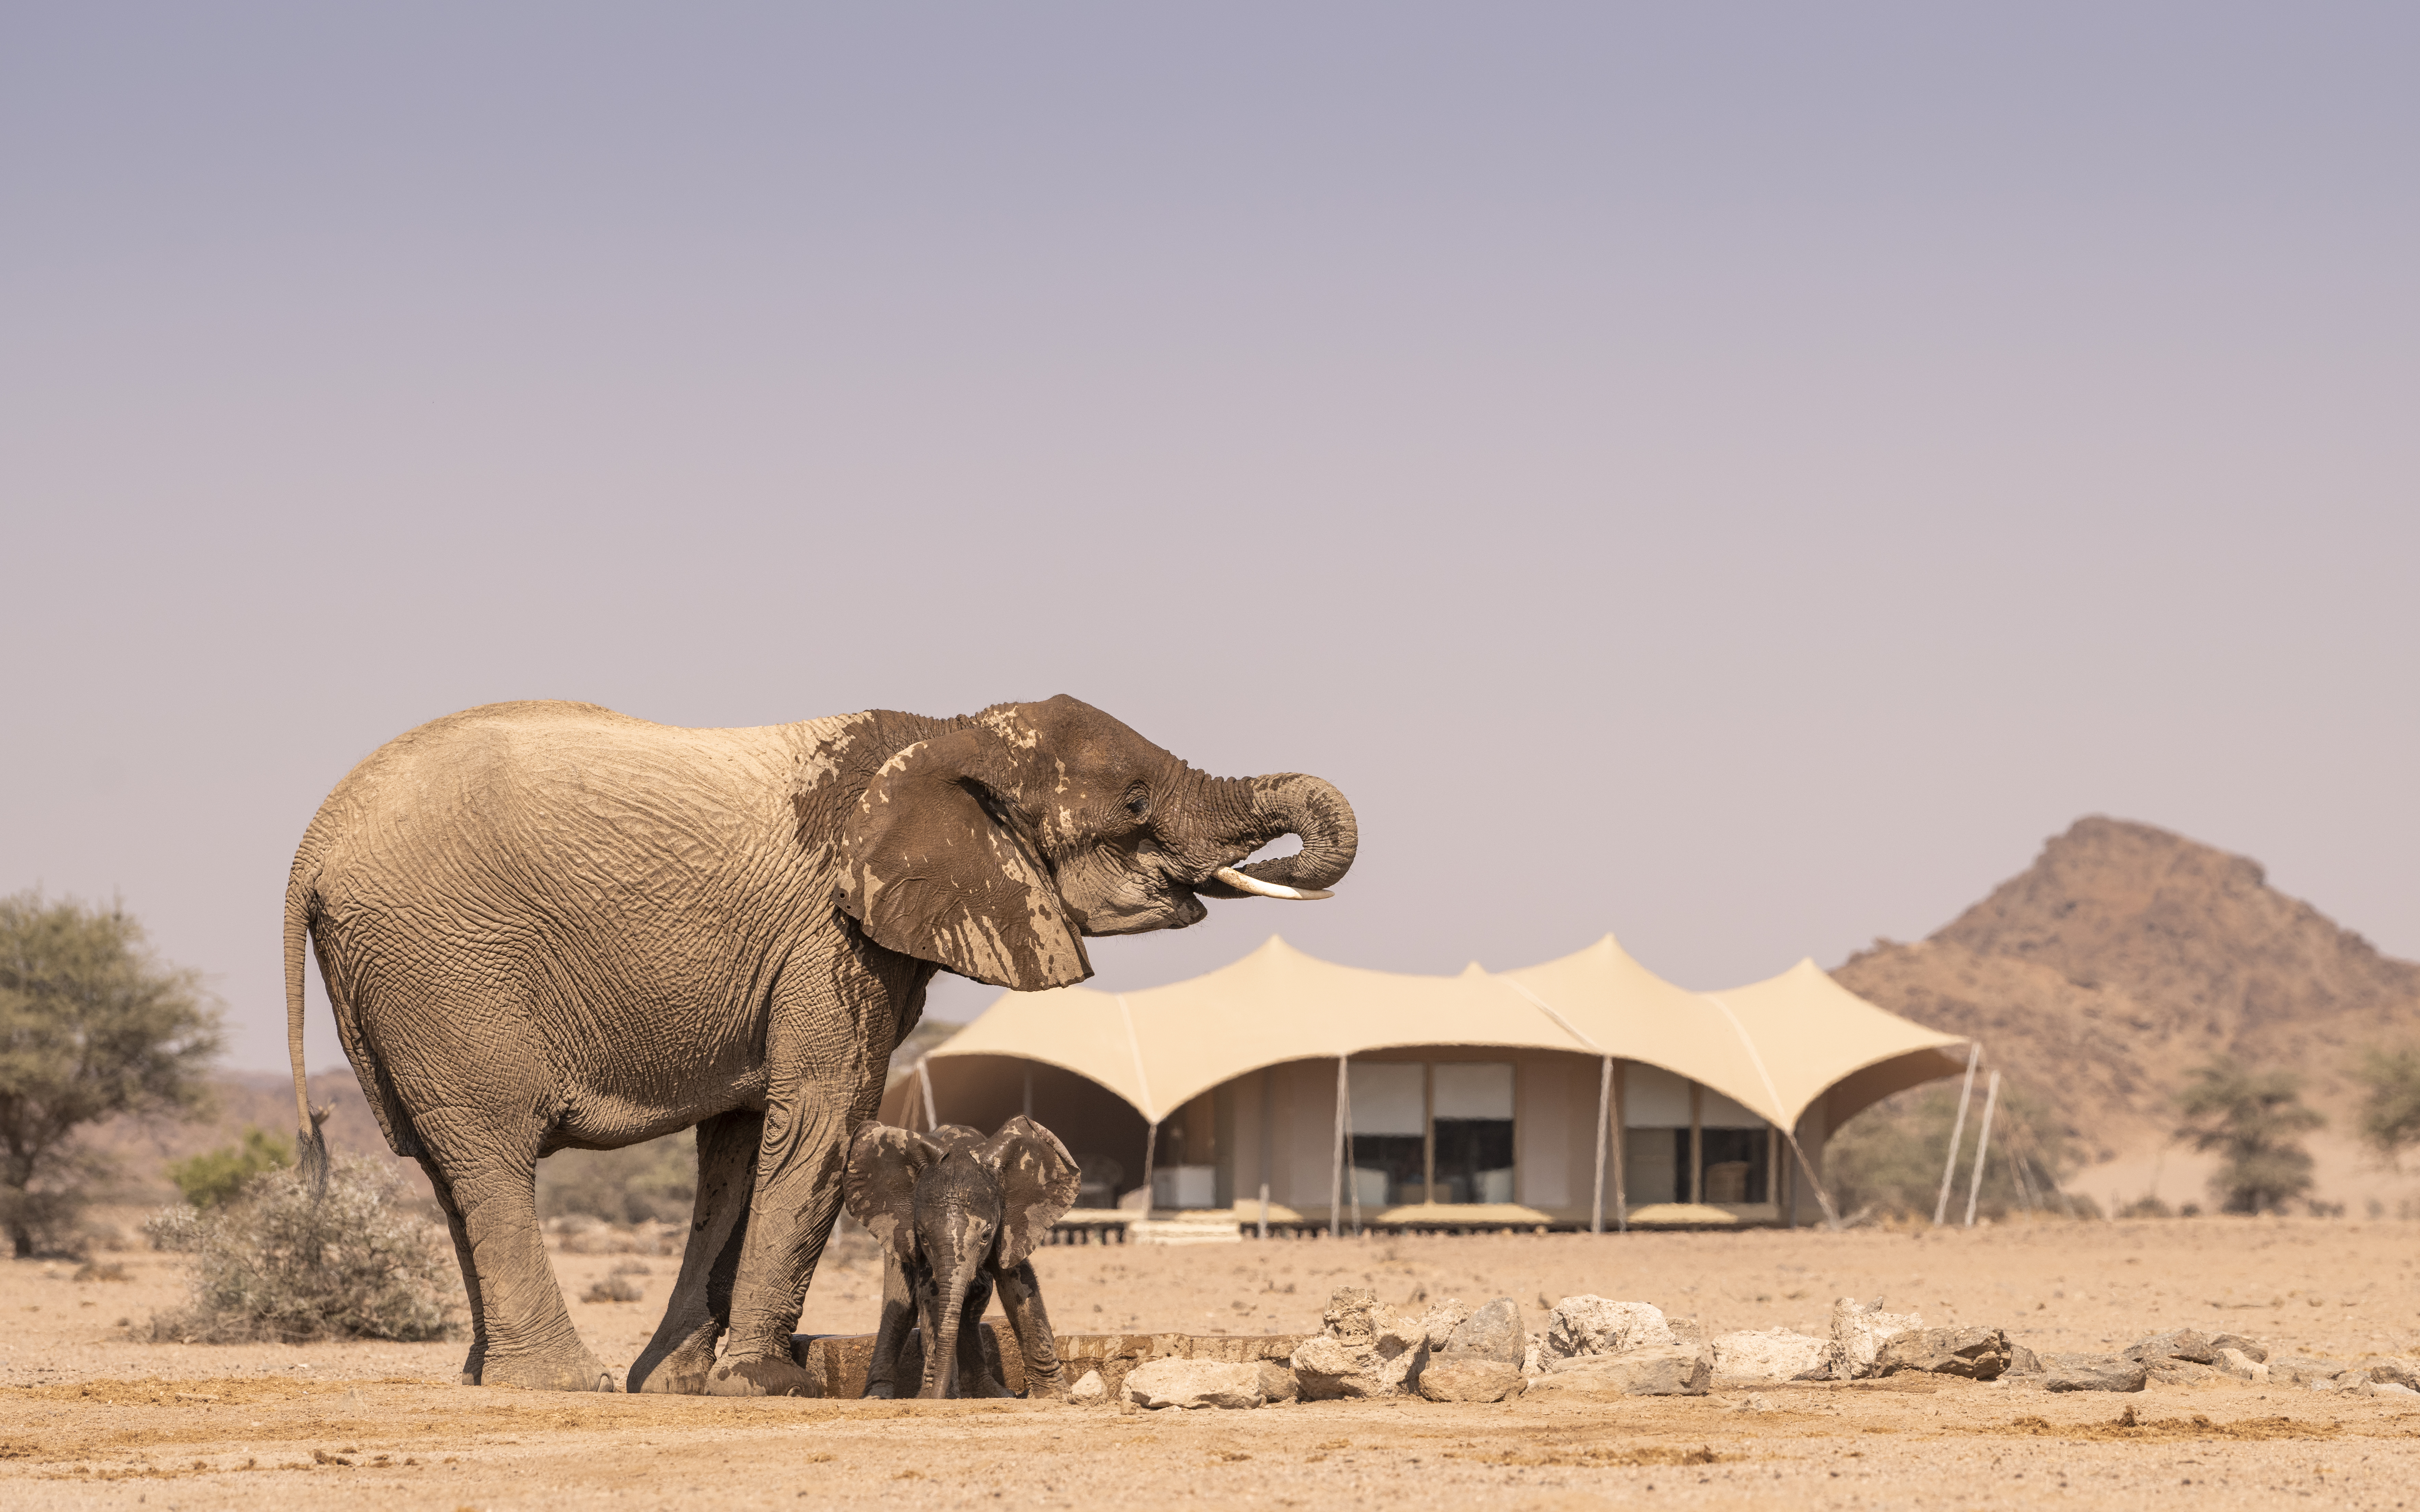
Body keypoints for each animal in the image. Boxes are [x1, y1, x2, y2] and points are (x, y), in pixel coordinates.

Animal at [842, 1116, 1078, 1399]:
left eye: (986, 1235)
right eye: (922, 1236)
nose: (936, 1395)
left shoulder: (1013, 1227)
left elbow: (1020, 1287)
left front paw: (1055, 1395)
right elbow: (930, 1294)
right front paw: (934, 1397)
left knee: (973, 1305)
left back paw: (993, 1393)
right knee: (900, 1309)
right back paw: (878, 1396)